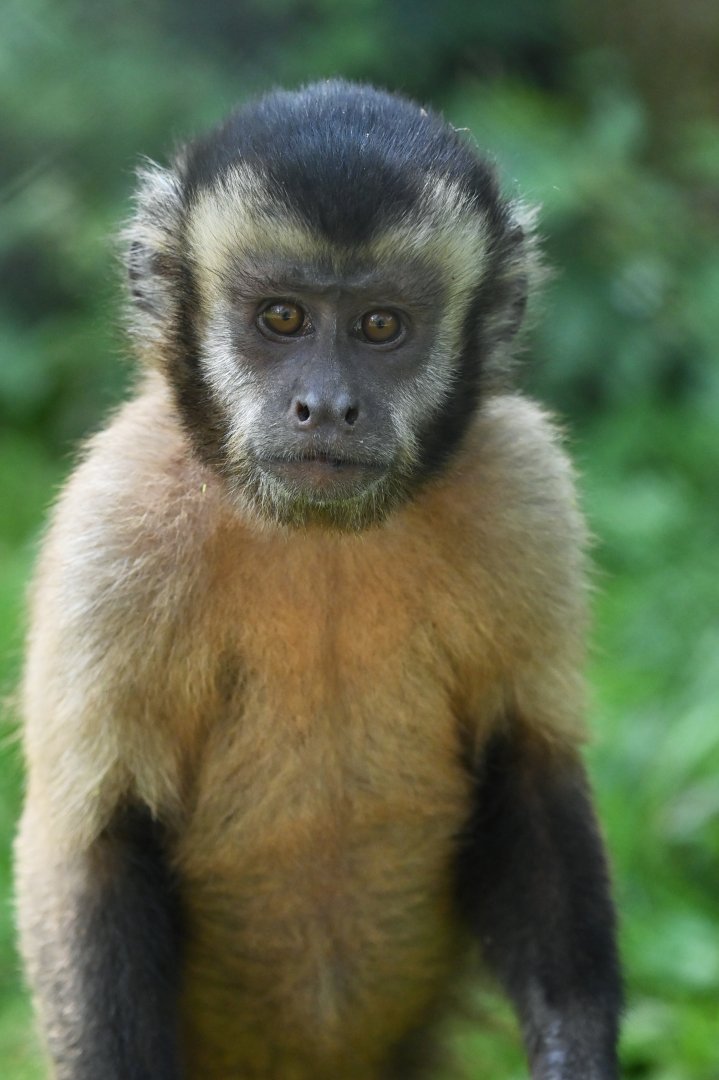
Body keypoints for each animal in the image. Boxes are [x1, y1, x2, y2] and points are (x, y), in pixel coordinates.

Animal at [15, 80, 622, 1080]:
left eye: (380, 327)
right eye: (282, 318)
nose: (327, 405)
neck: (319, 536)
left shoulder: (521, 486)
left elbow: (527, 762)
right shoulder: (114, 521)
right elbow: (93, 839)